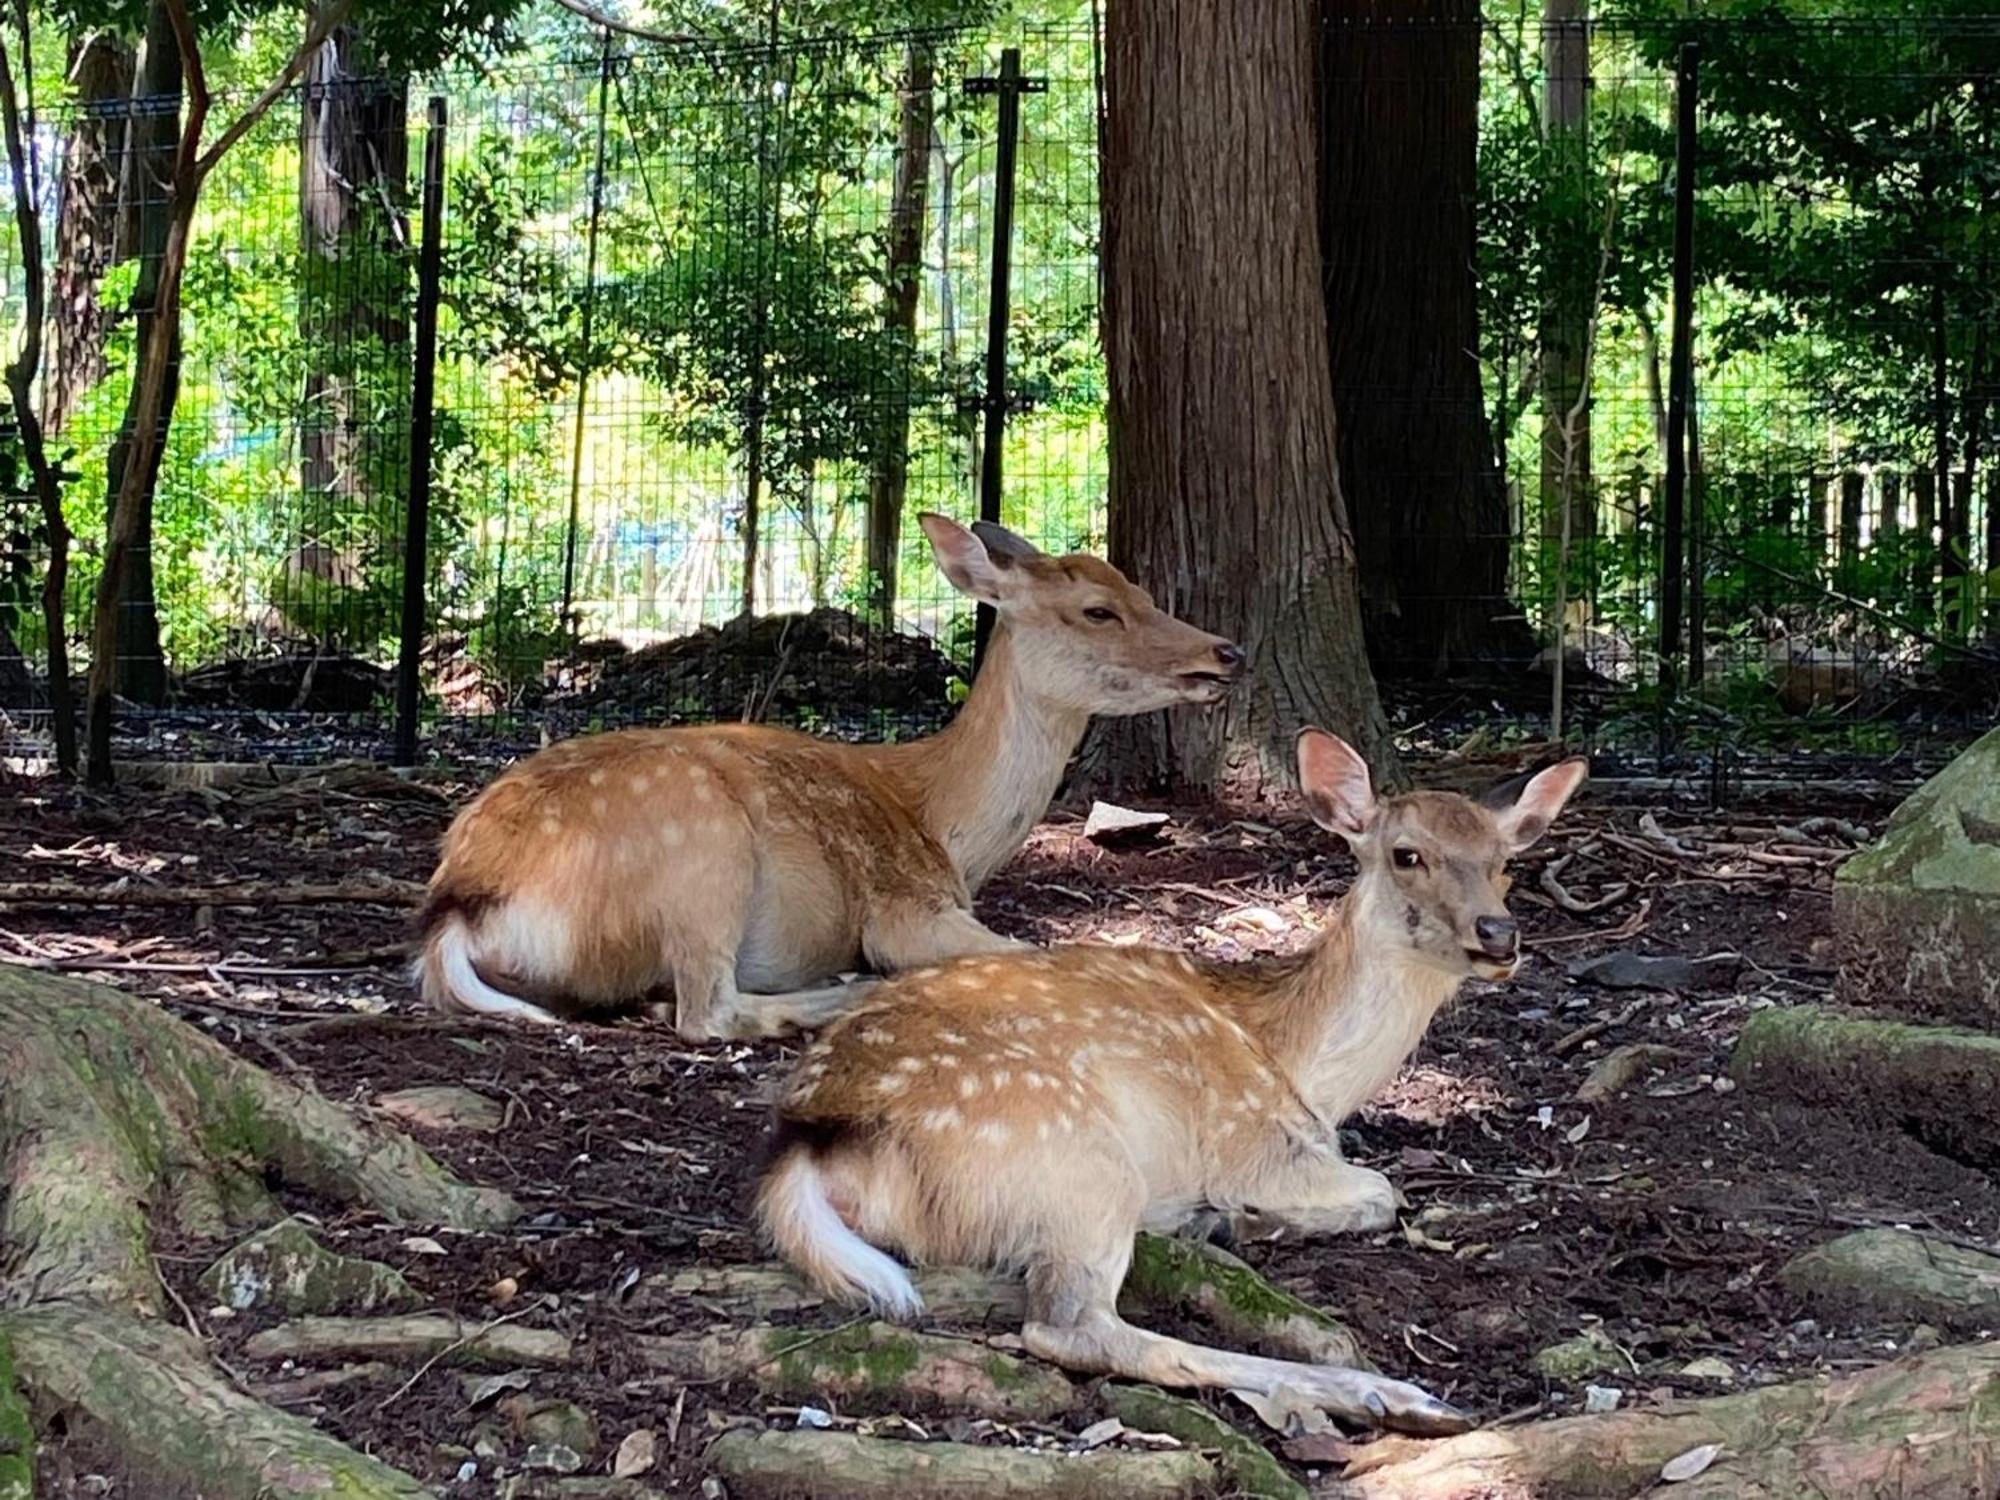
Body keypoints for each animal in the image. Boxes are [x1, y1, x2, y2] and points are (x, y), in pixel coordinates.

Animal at [416, 516, 1240, 1048]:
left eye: (1141, 590)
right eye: (1098, 610)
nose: (1225, 651)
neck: (947, 831)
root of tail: (461, 905)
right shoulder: (904, 908)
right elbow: (1042, 952)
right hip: (700, 848)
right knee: (707, 1011)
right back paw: (848, 992)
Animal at [756, 736, 1584, 1440]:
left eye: (1506, 860)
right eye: (1407, 854)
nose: (1498, 935)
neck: (1304, 1070)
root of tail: (813, 1141)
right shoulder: (1255, 1145)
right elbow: (1384, 1190)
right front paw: (1244, 1219)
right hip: (1075, 1156)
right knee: (1070, 1326)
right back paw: (1393, 1395)